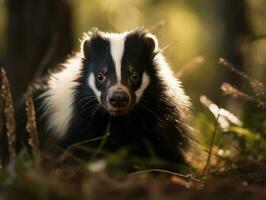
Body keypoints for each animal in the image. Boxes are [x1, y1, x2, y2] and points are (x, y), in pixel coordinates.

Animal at [15, 28, 191, 167]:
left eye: (134, 75)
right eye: (100, 76)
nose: (118, 97)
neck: (119, 120)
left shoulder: (158, 113)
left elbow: (162, 145)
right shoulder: (80, 120)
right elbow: (83, 150)